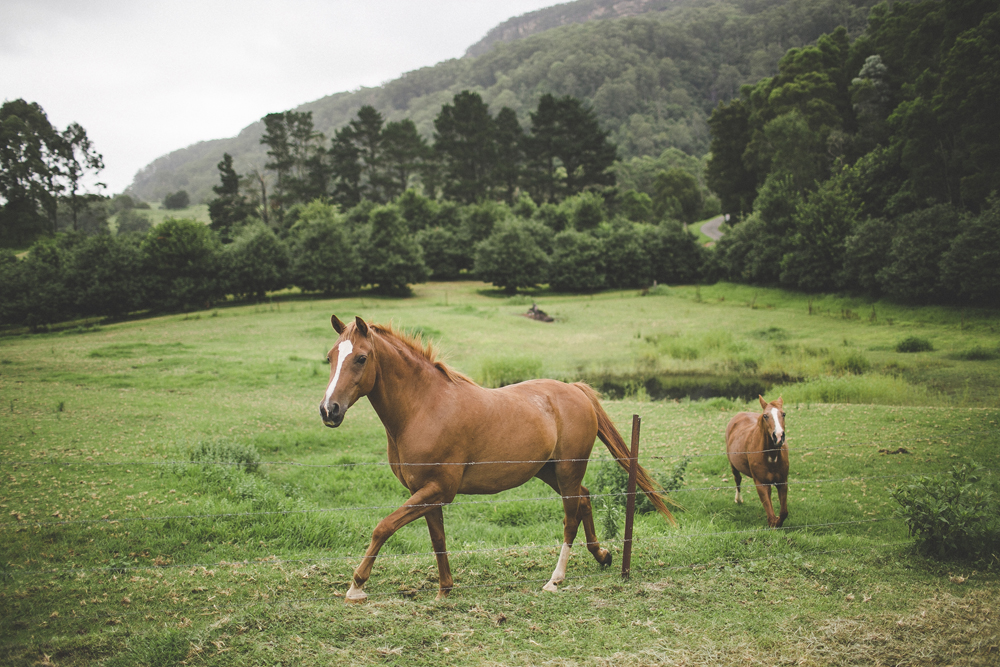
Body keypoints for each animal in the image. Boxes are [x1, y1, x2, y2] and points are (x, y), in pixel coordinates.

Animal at [728, 396, 788, 528]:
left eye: (783, 414)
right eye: (765, 416)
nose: (778, 436)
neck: (771, 456)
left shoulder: (782, 482)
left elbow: (784, 512)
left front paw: (778, 521)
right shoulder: (761, 484)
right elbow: (771, 514)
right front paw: (773, 523)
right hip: (733, 465)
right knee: (737, 480)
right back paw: (738, 499)